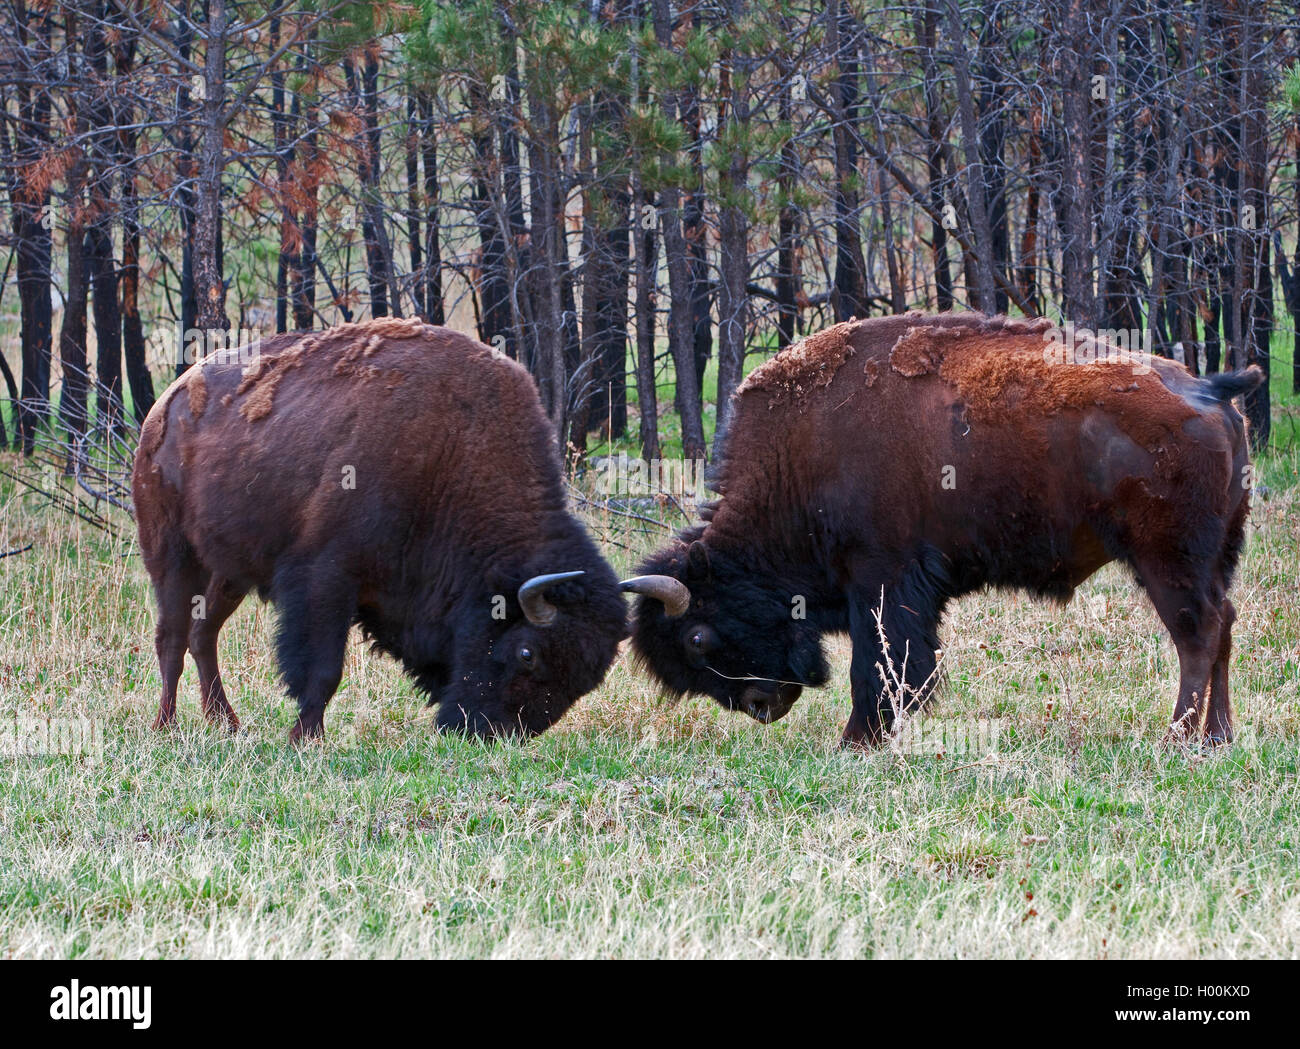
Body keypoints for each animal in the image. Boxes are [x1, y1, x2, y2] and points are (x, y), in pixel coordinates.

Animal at [133, 317, 634, 742]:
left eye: (588, 679)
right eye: (528, 653)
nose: (493, 734)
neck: (450, 453)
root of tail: (166, 404)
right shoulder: (326, 579)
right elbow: (323, 669)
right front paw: (306, 739)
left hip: (229, 571)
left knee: (203, 634)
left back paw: (226, 723)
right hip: (172, 556)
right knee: (172, 638)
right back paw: (166, 727)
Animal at [626, 312, 1262, 747]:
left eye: (697, 638)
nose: (762, 703)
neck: (797, 461)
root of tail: (1210, 392)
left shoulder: (881, 580)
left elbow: (880, 663)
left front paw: (857, 740)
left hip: (1168, 560)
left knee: (1198, 633)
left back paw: (1177, 738)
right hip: (1211, 560)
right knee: (1224, 624)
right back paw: (1218, 736)